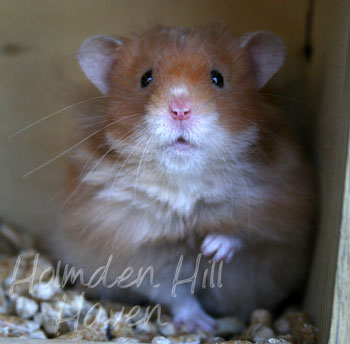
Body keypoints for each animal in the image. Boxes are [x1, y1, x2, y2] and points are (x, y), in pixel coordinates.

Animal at [52, 23, 314, 330]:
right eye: (145, 78)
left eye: (217, 77)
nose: (180, 110)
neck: (183, 178)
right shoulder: (141, 251)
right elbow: (175, 294)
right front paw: (200, 325)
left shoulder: (275, 209)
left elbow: (241, 232)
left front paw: (212, 249)